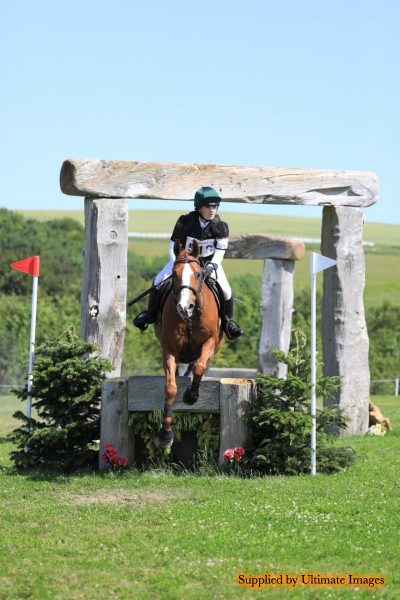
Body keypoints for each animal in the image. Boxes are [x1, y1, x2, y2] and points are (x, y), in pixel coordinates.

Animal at [155, 238, 223, 446]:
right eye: (175, 274)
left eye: (198, 274)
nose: (185, 307)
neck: (190, 318)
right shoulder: (170, 350)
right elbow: (170, 388)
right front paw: (166, 434)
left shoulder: (209, 342)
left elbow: (199, 367)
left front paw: (191, 396)